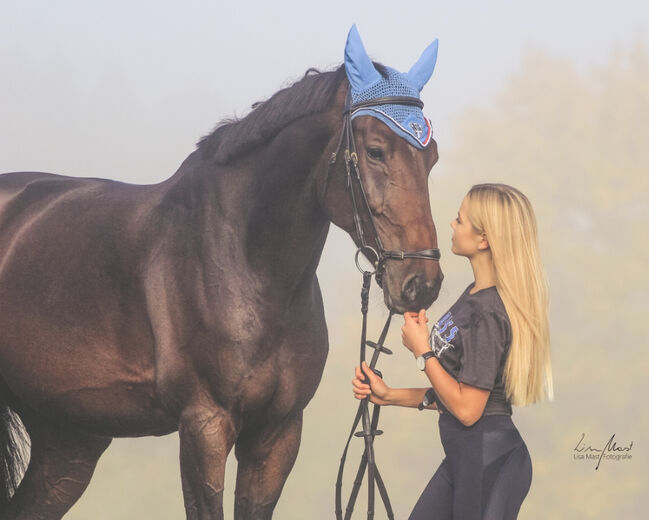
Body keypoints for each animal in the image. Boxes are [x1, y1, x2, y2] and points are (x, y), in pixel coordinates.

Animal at [0, 34, 440, 516]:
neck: (247, 264)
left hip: (69, 438)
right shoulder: (204, 426)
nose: (422, 282)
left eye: (432, 157)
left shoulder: (278, 432)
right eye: (376, 150)